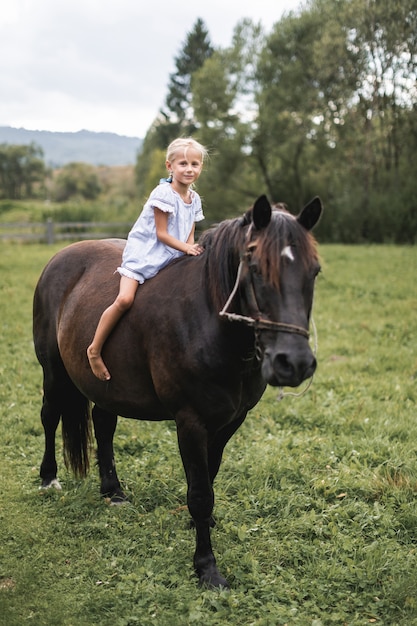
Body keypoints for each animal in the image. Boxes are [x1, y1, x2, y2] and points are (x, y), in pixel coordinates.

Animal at [33, 194, 322, 584]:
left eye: (314, 271)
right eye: (257, 267)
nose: (294, 362)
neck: (209, 321)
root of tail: (60, 257)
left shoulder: (230, 421)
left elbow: (209, 479)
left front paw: (202, 524)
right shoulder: (190, 422)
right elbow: (200, 492)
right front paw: (207, 568)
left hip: (106, 384)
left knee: (104, 425)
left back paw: (113, 490)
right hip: (53, 372)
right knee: (50, 417)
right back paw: (49, 478)